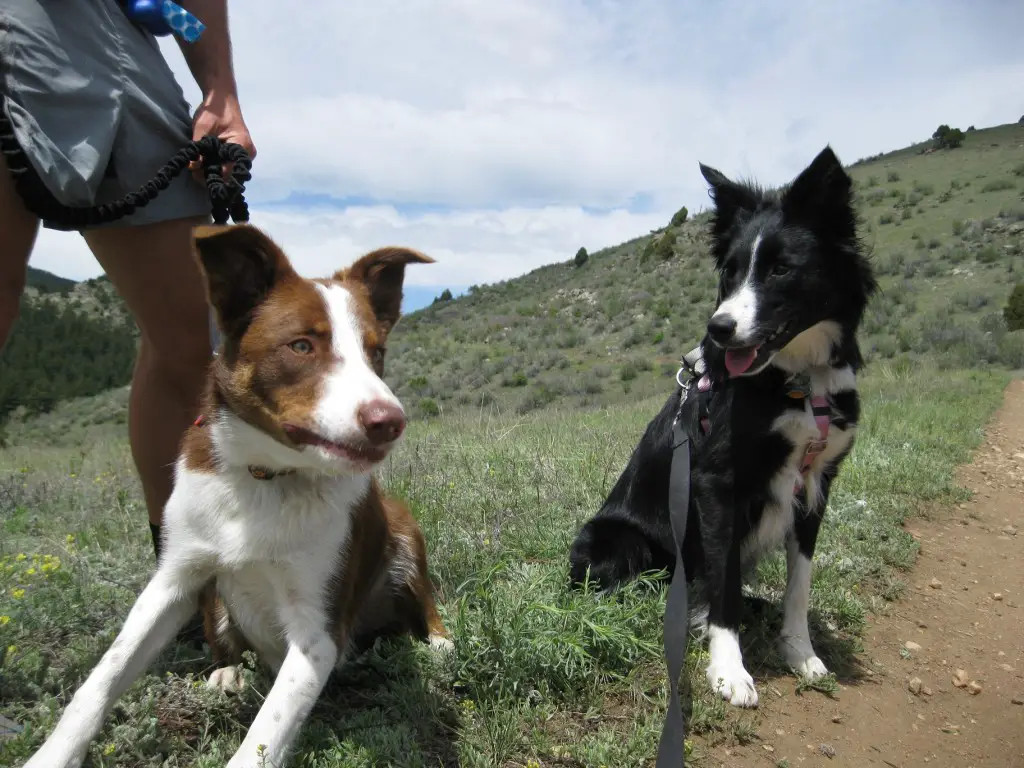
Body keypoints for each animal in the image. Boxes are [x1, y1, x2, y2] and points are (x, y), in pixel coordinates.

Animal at [22, 222, 448, 768]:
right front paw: (52, 755)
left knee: (423, 596)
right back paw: (225, 671)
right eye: (301, 346)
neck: (266, 477)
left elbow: (265, 734)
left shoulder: (317, 632)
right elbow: (104, 676)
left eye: (377, 354)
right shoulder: (173, 580)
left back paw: (440, 643)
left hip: (404, 529)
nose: (389, 421)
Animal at [569, 145, 872, 708]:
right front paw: (729, 669)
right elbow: (724, 580)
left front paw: (800, 650)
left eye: (780, 269)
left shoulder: (817, 482)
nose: (720, 328)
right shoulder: (719, 484)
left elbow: (800, 582)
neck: (799, 379)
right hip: (616, 538)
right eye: (729, 272)